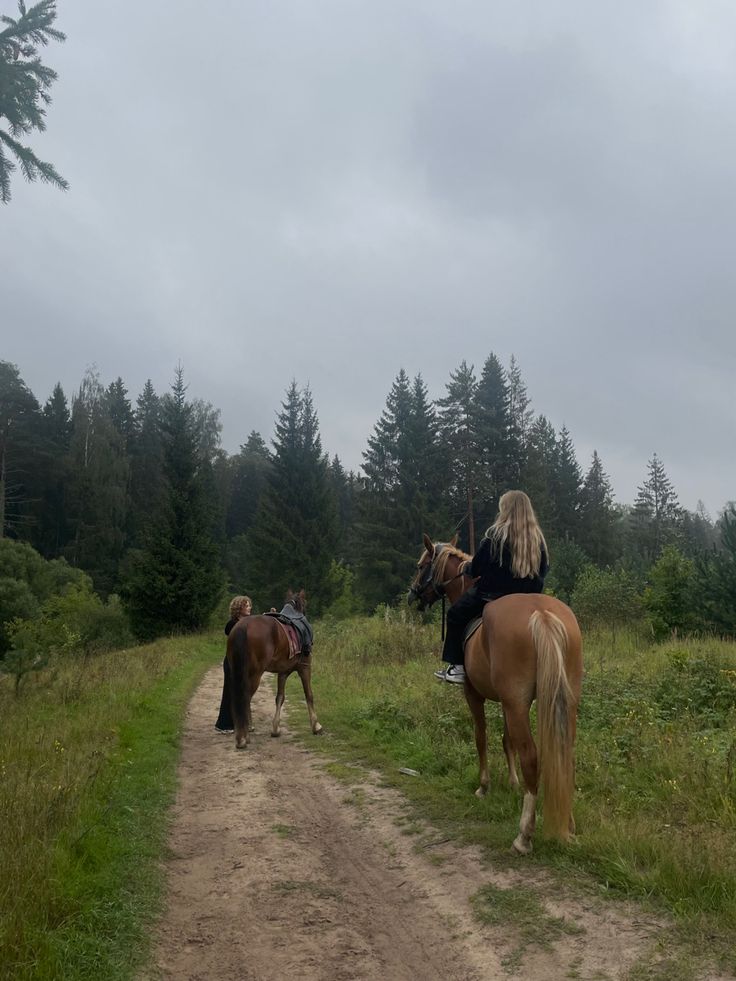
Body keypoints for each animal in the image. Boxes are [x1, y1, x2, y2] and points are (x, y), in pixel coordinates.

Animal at [227, 588, 322, 752]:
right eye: (305, 603)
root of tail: (242, 626)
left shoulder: (282, 672)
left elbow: (280, 698)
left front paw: (275, 729)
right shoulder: (305, 667)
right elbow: (309, 695)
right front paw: (316, 726)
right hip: (255, 674)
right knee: (245, 698)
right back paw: (243, 738)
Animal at [408, 536, 580, 848]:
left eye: (421, 565)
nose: (412, 594)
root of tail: (542, 615)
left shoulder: (474, 694)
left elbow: (481, 737)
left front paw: (484, 786)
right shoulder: (507, 701)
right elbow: (506, 740)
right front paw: (512, 783)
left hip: (517, 703)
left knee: (532, 757)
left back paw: (524, 834)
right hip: (560, 701)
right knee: (565, 755)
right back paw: (568, 824)